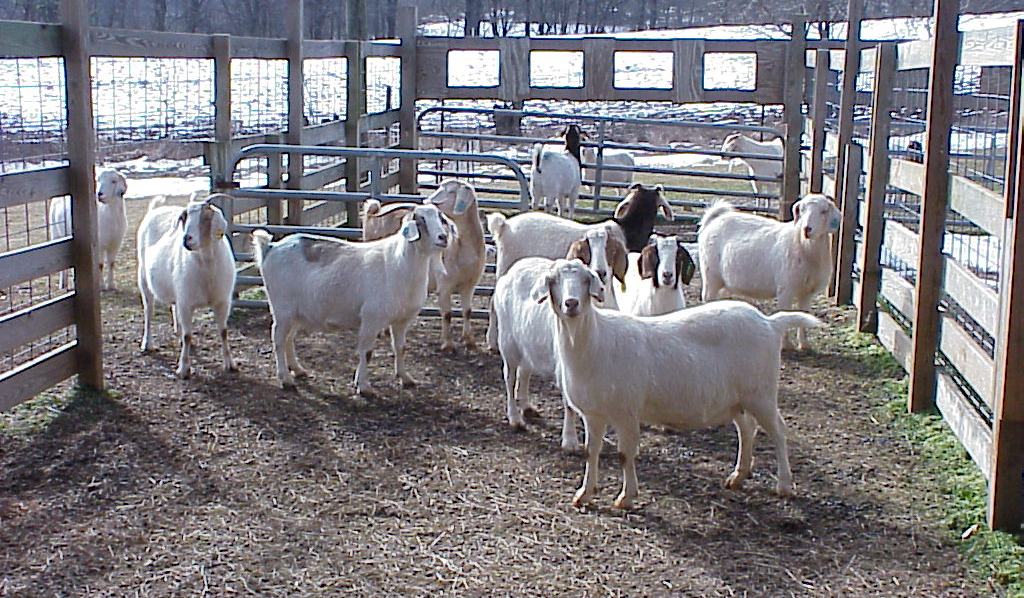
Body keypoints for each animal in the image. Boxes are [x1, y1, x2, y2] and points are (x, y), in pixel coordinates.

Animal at [137, 194, 237, 379]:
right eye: (184, 217)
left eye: (206, 217)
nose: (186, 239)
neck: (206, 264)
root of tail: (155, 209)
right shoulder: (186, 303)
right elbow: (187, 335)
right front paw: (183, 368)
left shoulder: (222, 301)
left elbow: (223, 331)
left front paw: (230, 364)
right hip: (144, 280)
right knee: (148, 311)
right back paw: (147, 343)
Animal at [252, 203, 455, 395]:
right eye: (421, 221)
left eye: (440, 218)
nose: (443, 238)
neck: (399, 263)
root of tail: (270, 248)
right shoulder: (371, 318)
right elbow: (367, 352)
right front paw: (363, 386)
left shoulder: (402, 320)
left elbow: (400, 348)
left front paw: (405, 378)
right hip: (282, 308)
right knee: (278, 339)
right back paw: (285, 379)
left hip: (297, 312)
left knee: (289, 338)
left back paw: (298, 370)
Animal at [362, 179, 486, 351]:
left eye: (449, 191)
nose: (427, 202)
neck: (460, 246)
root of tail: (374, 212)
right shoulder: (445, 285)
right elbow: (447, 314)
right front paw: (448, 344)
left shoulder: (470, 284)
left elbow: (468, 311)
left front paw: (469, 341)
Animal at [538, 258, 821, 508]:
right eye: (554, 281)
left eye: (586, 280)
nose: (571, 303)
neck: (593, 341)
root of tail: (770, 323)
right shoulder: (593, 413)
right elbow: (591, 451)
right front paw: (584, 494)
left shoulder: (627, 410)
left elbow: (624, 454)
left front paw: (626, 498)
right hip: (737, 398)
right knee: (747, 429)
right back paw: (738, 476)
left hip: (761, 393)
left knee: (779, 431)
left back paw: (784, 485)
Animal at [697, 193, 841, 350]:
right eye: (801, 210)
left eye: (823, 211)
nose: (806, 229)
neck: (802, 245)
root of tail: (714, 219)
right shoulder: (785, 289)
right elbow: (786, 312)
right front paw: (786, 345)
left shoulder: (807, 292)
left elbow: (804, 314)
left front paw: (804, 344)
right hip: (710, 274)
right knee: (707, 296)